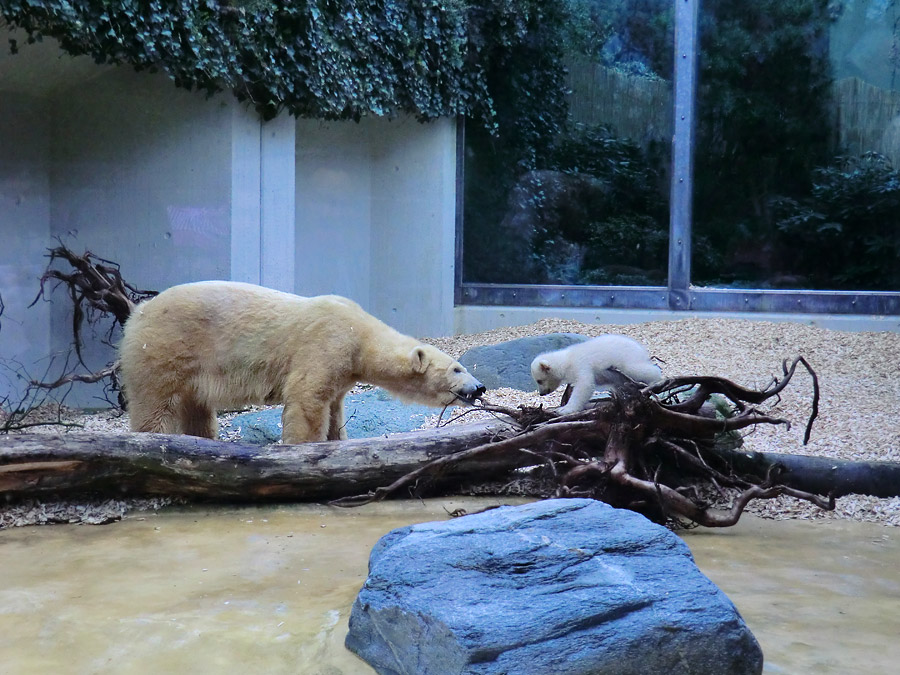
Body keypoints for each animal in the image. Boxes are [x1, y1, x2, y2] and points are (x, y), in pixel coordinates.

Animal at [121, 282, 486, 446]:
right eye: (457, 368)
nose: (479, 388)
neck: (359, 332)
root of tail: (138, 311)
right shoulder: (325, 342)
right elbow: (308, 398)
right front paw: (304, 448)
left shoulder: (344, 370)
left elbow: (335, 408)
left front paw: (337, 439)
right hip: (166, 347)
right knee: (155, 403)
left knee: (196, 406)